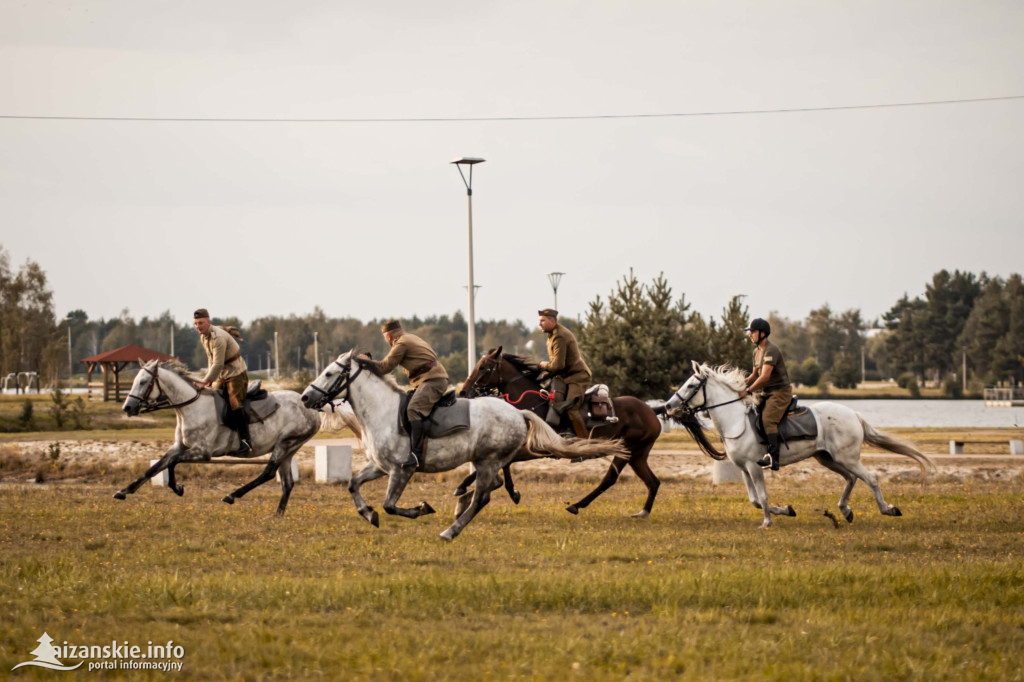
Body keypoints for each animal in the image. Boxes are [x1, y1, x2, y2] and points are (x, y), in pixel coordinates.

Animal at [118, 358, 323, 512]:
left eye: (143, 382)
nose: (127, 408)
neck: (190, 407)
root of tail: (311, 408)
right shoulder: (179, 446)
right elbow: (158, 466)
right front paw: (125, 491)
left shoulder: (203, 452)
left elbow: (172, 462)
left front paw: (177, 488)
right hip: (289, 450)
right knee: (287, 483)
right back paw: (277, 515)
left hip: (284, 444)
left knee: (268, 473)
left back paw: (232, 495)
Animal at [299, 348, 626, 540]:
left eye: (329, 373)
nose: (304, 397)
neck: (381, 410)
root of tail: (519, 412)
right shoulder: (380, 466)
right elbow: (353, 484)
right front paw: (369, 514)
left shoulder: (401, 470)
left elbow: (391, 505)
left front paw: (421, 508)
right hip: (488, 461)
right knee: (490, 487)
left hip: (487, 460)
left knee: (483, 496)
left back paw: (451, 530)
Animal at [458, 346, 663, 516]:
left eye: (484, 367)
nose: (463, 392)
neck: (533, 406)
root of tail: (651, 411)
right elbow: (501, 463)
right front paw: (470, 488)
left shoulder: (537, 449)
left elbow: (505, 463)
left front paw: (505, 491)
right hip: (637, 455)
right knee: (653, 481)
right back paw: (643, 511)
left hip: (626, 450)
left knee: (610, 478)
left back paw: (577, 505)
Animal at [663, 360, 937, 524]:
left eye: (691, 384)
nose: (667, 405)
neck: (735, 420)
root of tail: (853, 414)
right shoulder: (743, 469)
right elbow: (754, 500)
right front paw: (786, 510)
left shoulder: (754, 467)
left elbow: (762, 498)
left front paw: (767, 522)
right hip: (827, 458)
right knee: (851, 479)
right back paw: (845, 510)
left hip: (847, 458)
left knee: (870, 479)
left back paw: (888, 509)